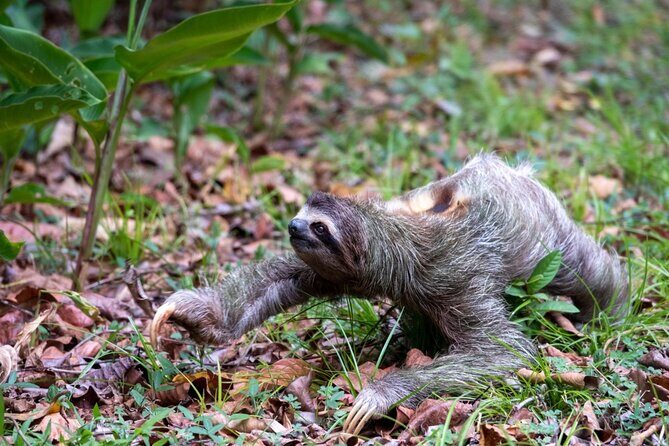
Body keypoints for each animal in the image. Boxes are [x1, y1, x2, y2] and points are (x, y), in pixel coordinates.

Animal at [150, 154, 629, 435]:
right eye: (303, 214)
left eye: (321, 228)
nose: (294, 226)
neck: (402, 249)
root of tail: (503, 169)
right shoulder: (343, 275)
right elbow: (269, 286)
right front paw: (187, 312)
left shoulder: (454, 277)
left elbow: (503, 349)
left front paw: (378, 395)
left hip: (547, 231)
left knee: (588, 272)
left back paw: (614, 307)